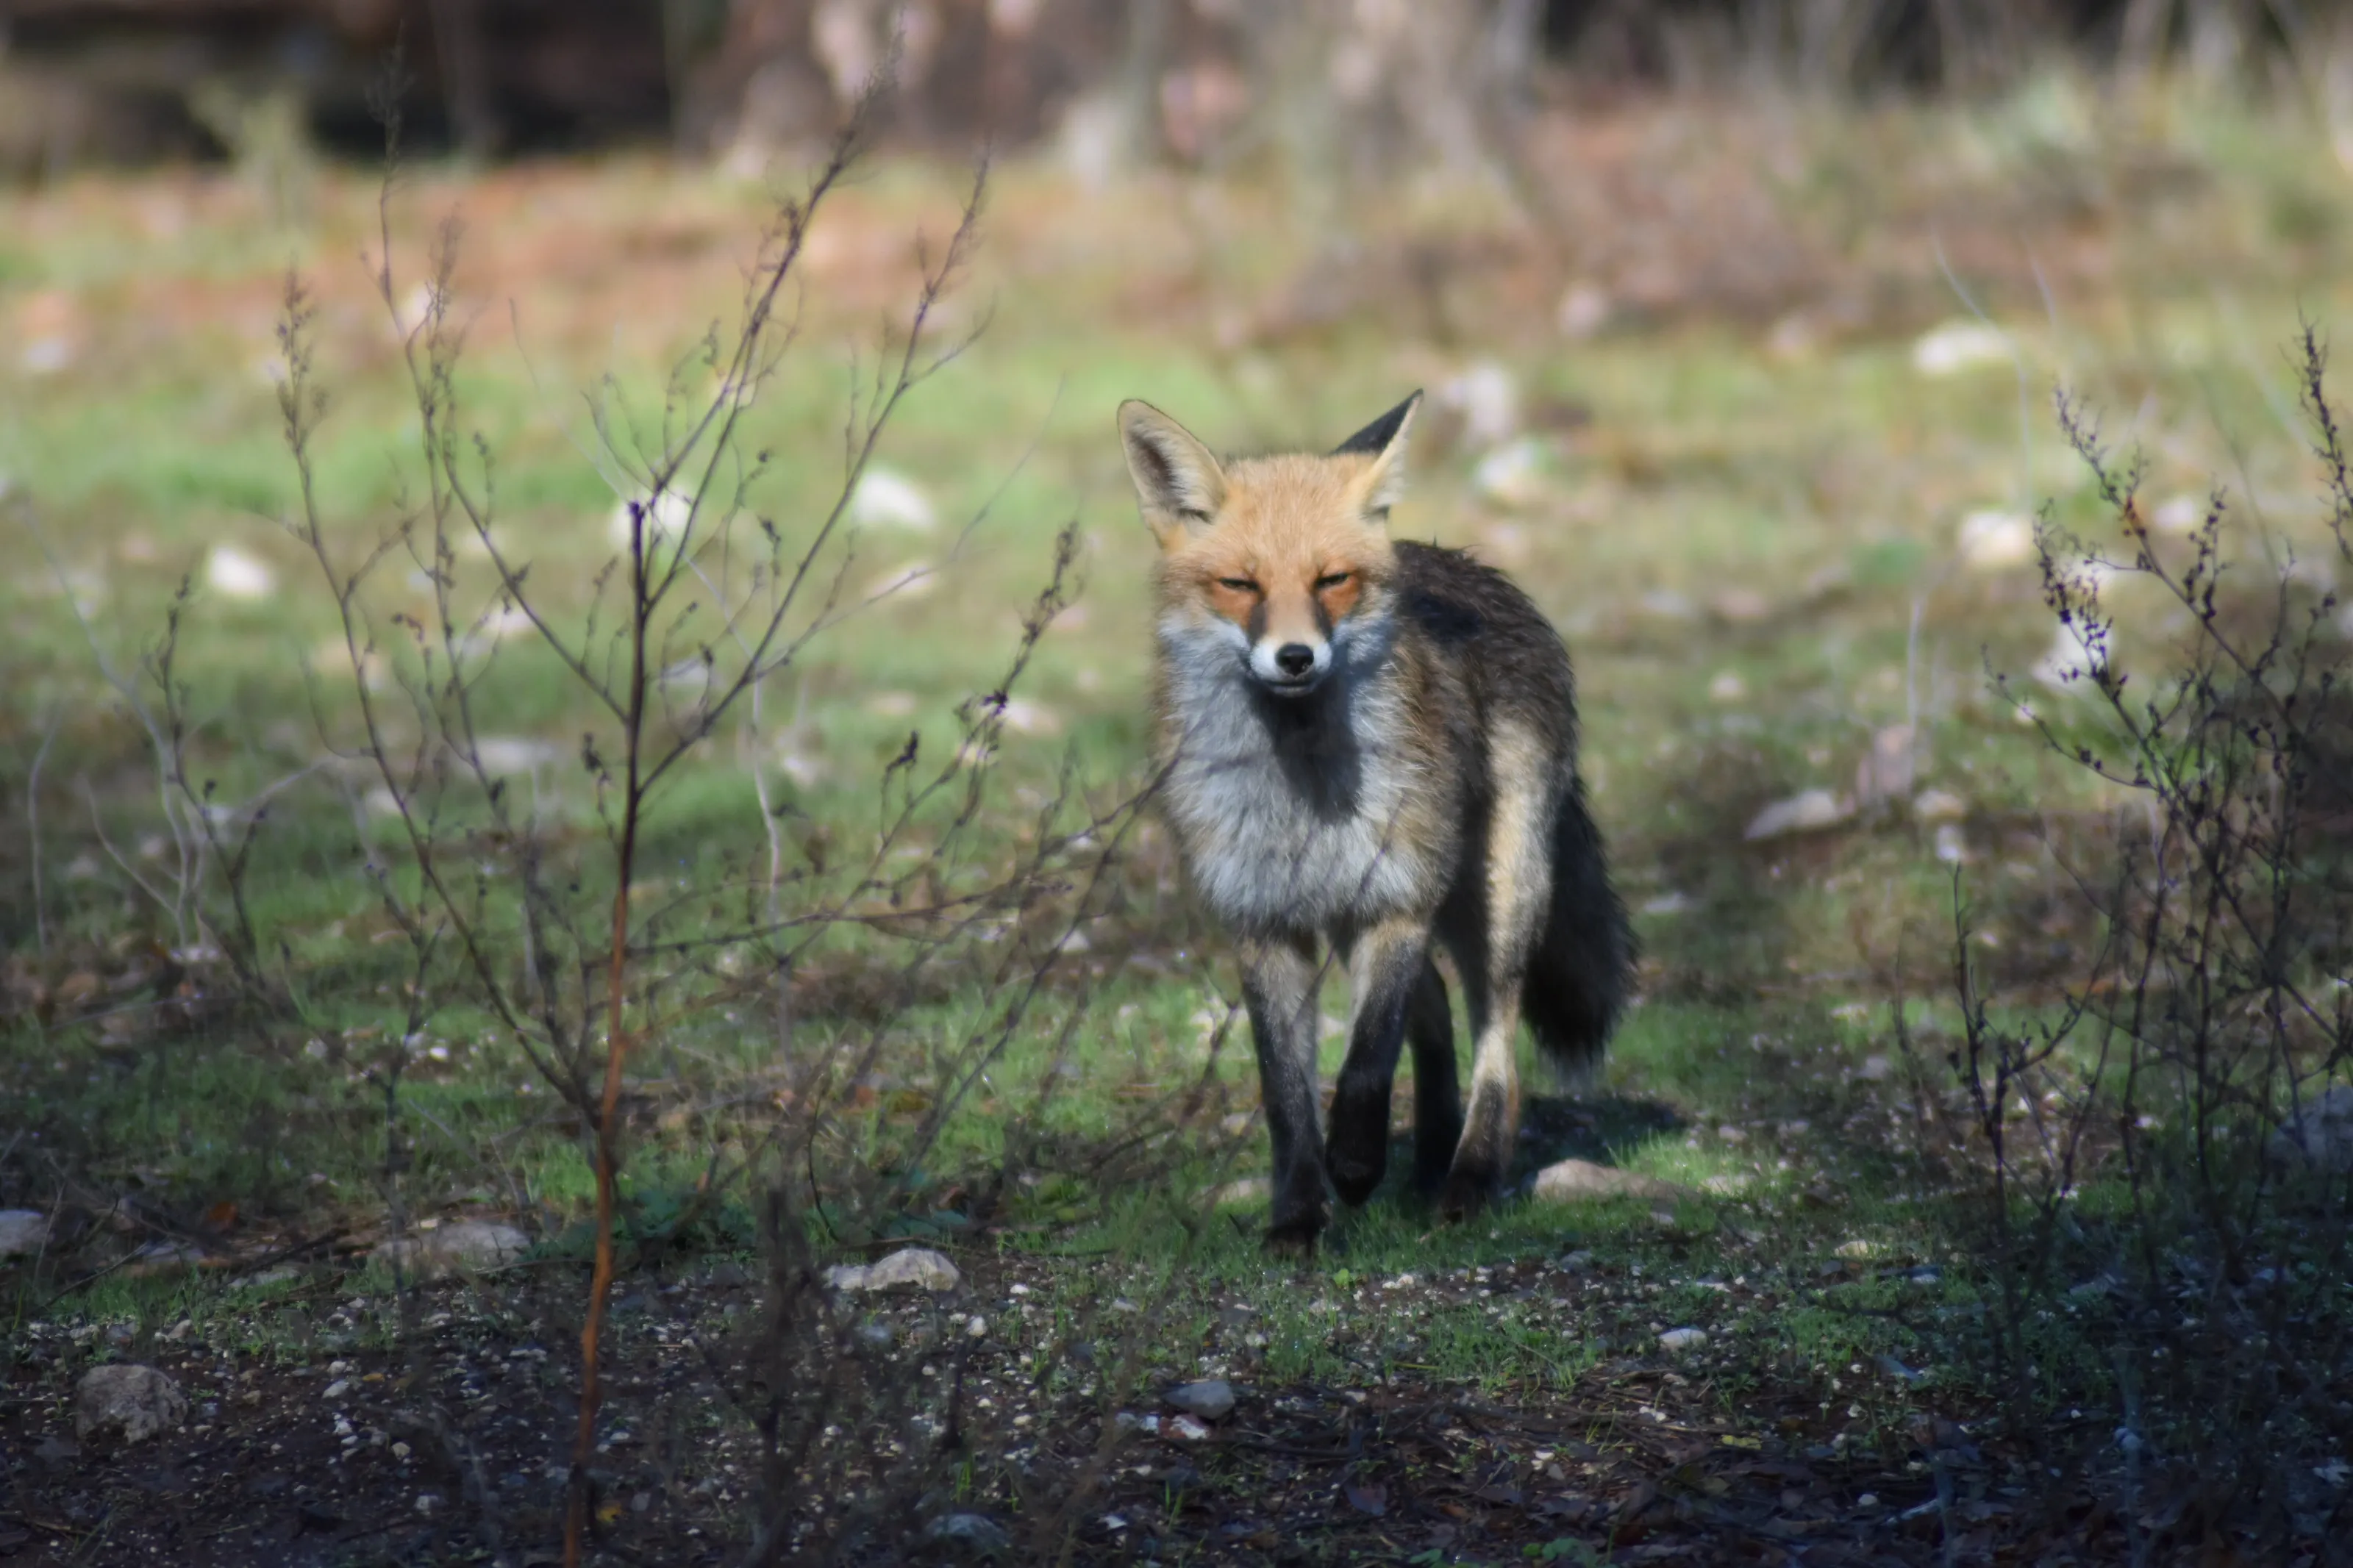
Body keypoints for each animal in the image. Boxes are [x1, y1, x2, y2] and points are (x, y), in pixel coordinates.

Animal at [1119, 390, 1632, 1252]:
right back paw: (1427, 1158)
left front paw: (1355, 1165)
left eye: (1332, 580)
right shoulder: (1265, 921)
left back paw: (1466, 1180)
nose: (1295, 657)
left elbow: (1364, 1058)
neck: (1300, 790)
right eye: (1239, 584)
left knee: (1496, 1043)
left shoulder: (1396, 901)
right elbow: (1284, 1093)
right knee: (1435, 1009)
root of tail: (1469, 566)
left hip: (1498, 896)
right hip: (1366, 909)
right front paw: (1298, 1216)